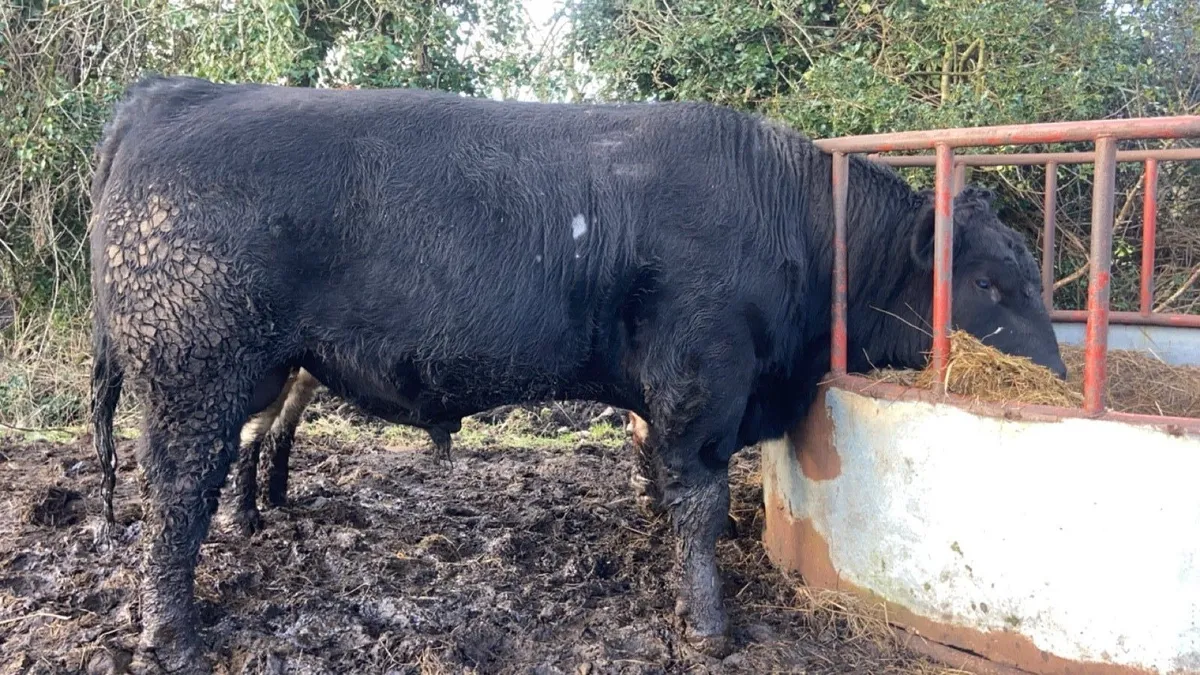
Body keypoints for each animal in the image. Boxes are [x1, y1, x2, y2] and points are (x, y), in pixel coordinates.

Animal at [88, 75, 1065, 672]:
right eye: (989, 282)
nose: (1054, 376)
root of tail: (168, 96)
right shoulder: (704, 378)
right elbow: (700, 498)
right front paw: (709, 624)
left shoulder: (662, 396)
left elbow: (660, 481)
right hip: (194, 373)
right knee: (175, 496)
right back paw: (173, 634)